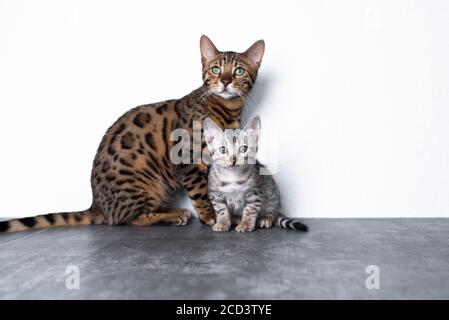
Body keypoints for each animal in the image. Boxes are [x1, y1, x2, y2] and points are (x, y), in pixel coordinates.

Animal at [0, 35, 262, 232]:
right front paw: (211, 217)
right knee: (127, 219)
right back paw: (172, 215)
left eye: (239, 71)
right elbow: (201, 193)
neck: (226, 109)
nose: (225, 81)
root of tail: (97, 204)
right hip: (140, 182)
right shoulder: (188, 159)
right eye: (215, 69)